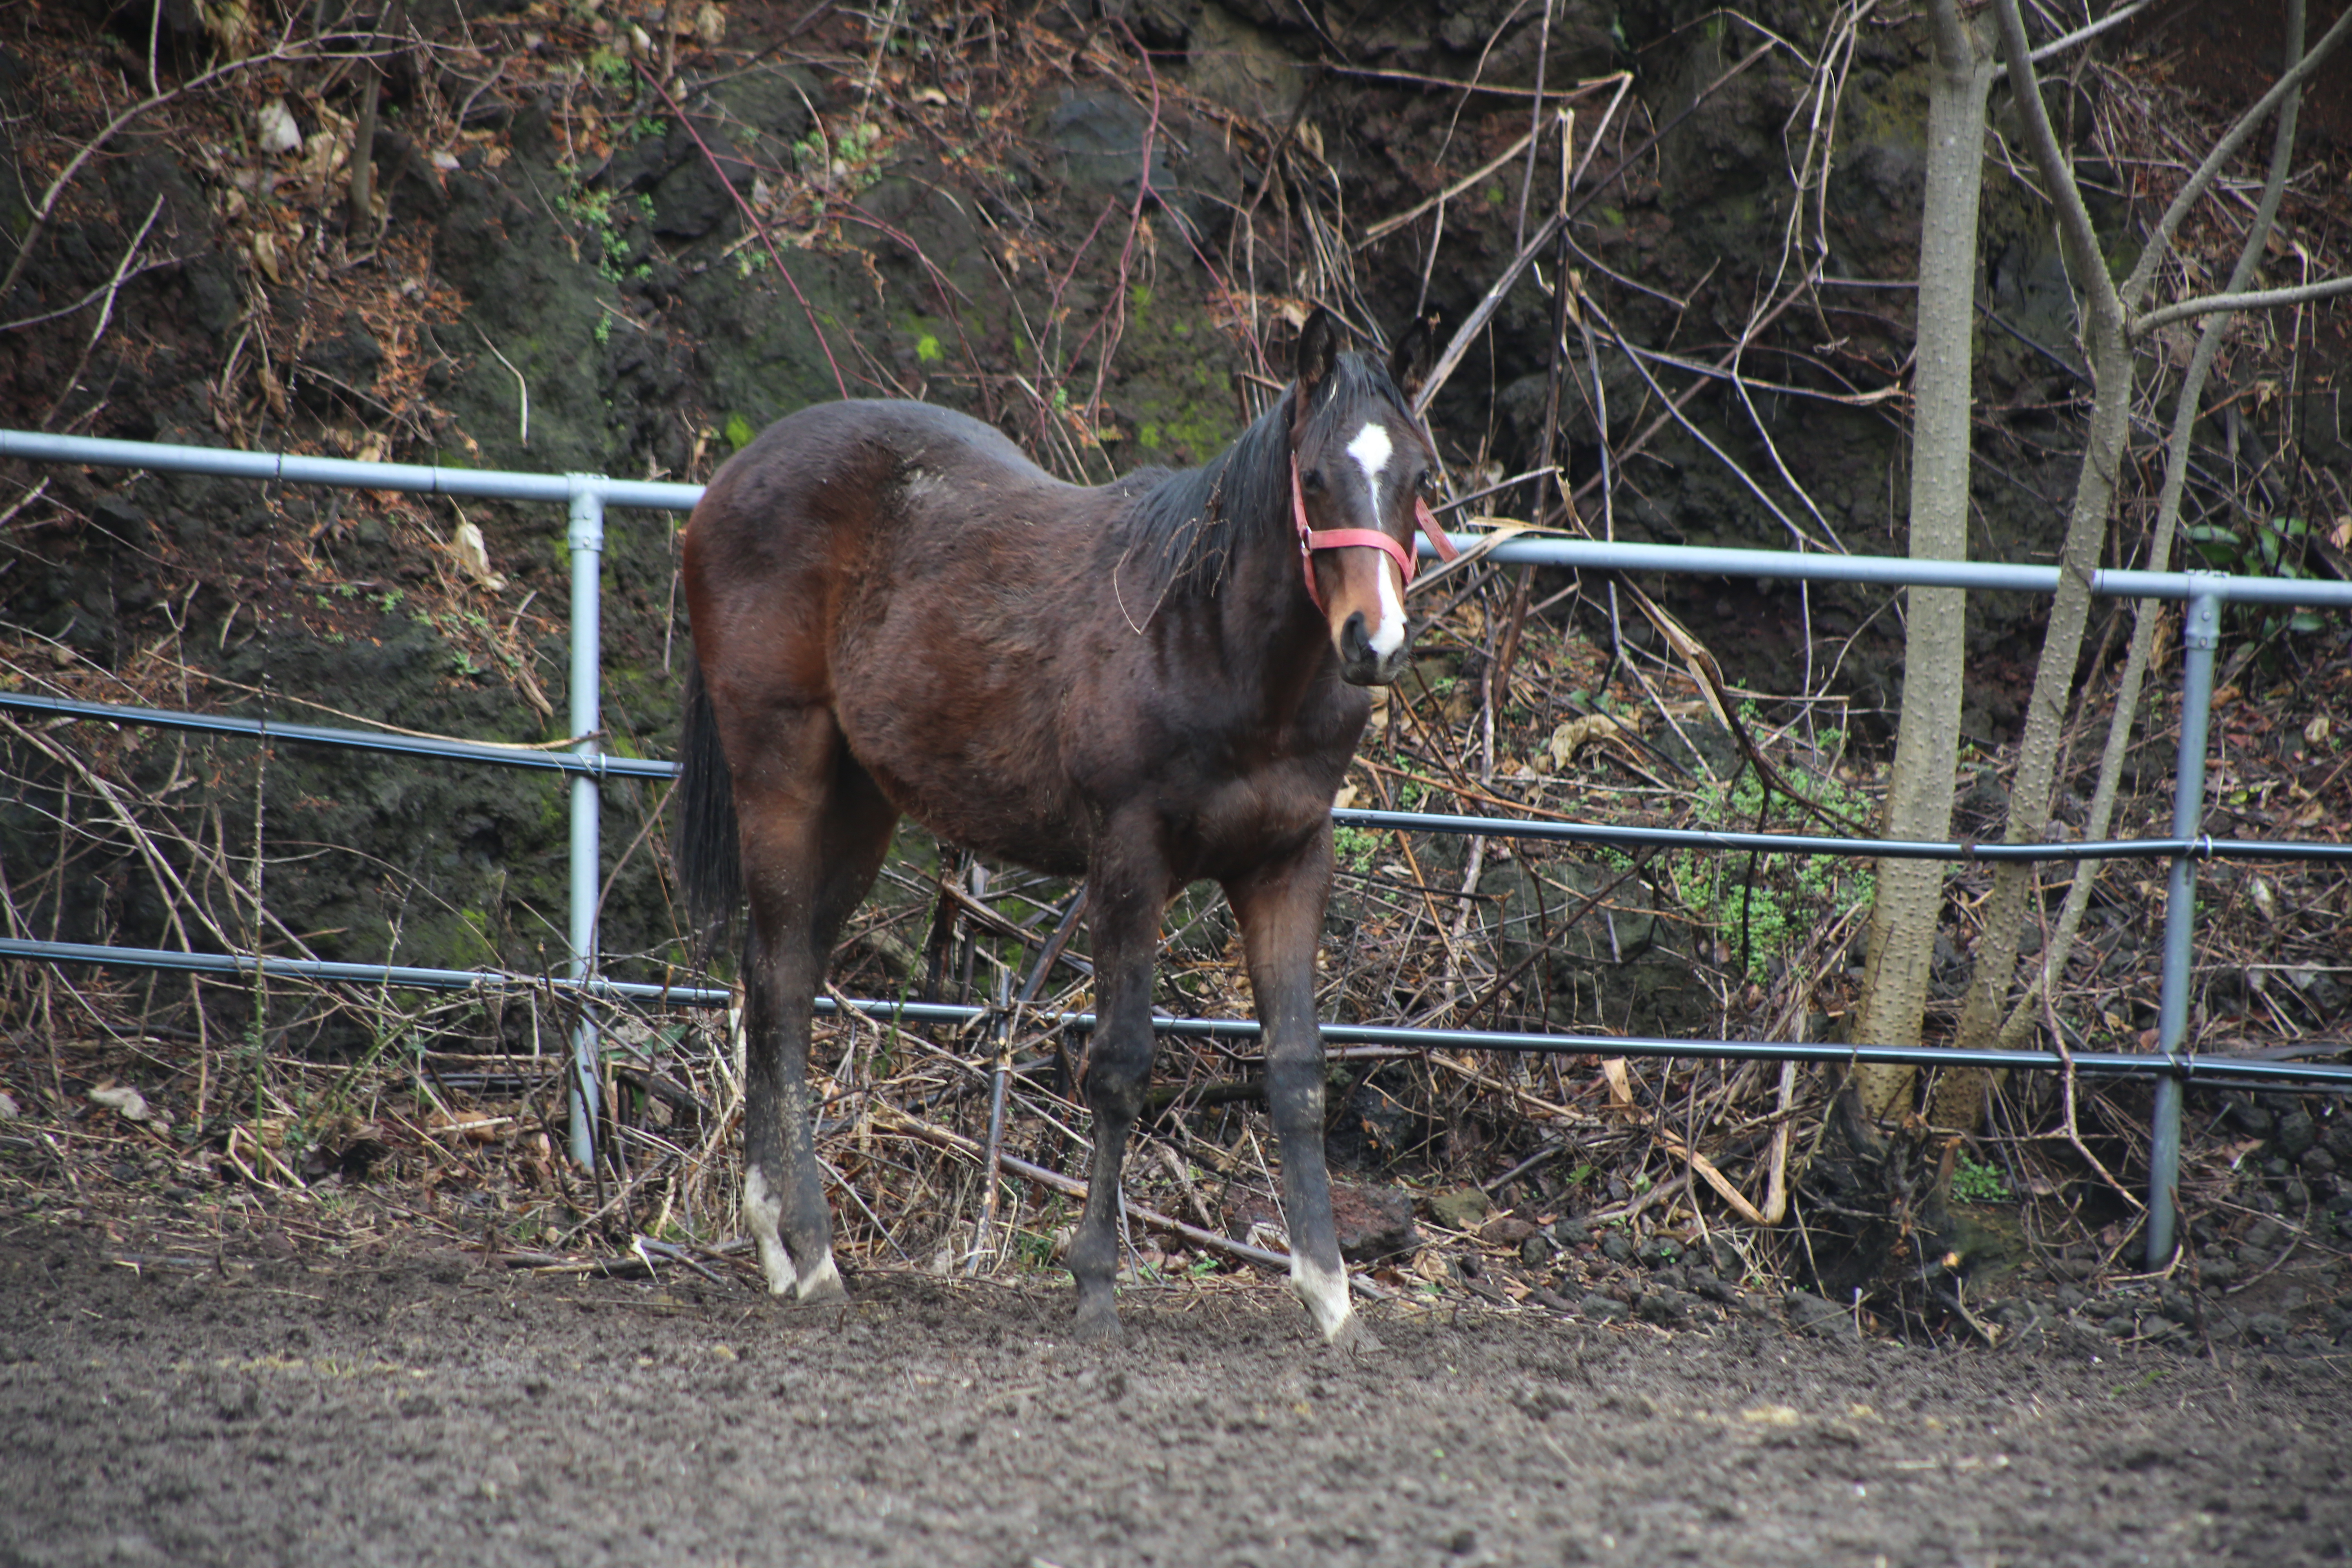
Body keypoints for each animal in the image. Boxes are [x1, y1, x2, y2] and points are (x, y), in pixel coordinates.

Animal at [673, 310, 1449, 1354]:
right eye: (1317, 476)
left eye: (1419, 476)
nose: (1376, 642)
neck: (1211, 639)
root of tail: (729, 481)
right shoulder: (1128, 857)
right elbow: (1118, 1064)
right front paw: (1095, 1286)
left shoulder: (1288, 863)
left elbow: (1297, 1072)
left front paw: (1331, 1297)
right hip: (780, 767)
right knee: (787, 982)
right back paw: (808, 1250)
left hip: (861, 800)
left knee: (774, 972)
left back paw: (779, 1247)